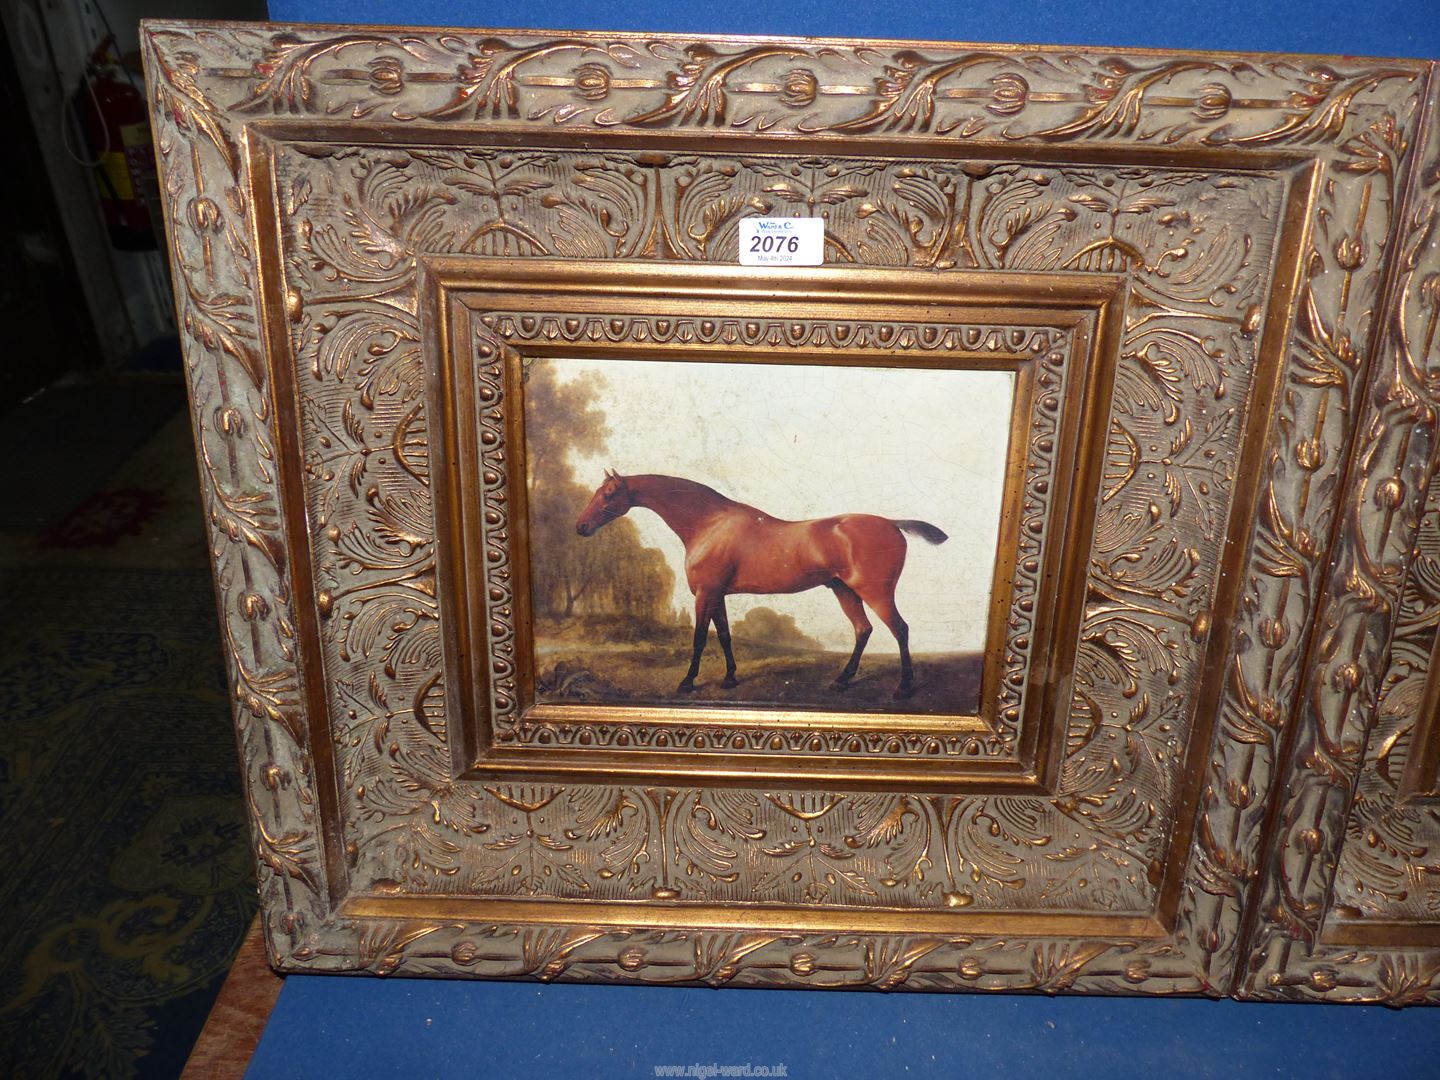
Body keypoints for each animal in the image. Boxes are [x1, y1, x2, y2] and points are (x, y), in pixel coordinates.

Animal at [573, 472, 944, 702]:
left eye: (608, 493)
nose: (581, 527)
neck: (710, 524)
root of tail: (893, 524)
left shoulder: (705, 594)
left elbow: (699, 639)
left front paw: (687, 681)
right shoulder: (717, 595)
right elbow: (723, 635)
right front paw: (730, 678)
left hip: (875, 593)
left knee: (900, 629)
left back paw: (903, 688)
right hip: (844, 590)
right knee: (863, 630)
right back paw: (841, 681)